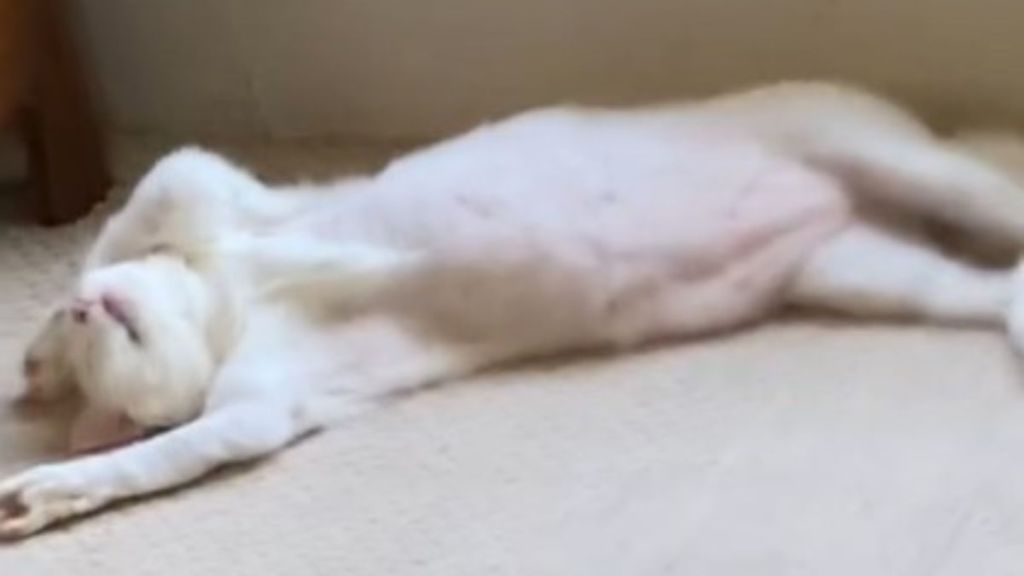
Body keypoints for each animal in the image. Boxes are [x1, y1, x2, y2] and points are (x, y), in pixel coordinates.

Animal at [6, 79, 1024, 532]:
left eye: (93, 334)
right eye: (105, 364)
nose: (84, 314)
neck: (236, 308)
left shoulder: (214, 188)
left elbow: (139, 214)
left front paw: (35, 355)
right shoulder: (263, 404)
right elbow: (177, 450)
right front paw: (58, 483)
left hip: (887, 157)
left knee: (993, 200)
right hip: (859, 270)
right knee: (983, 289)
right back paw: (1014, 314)